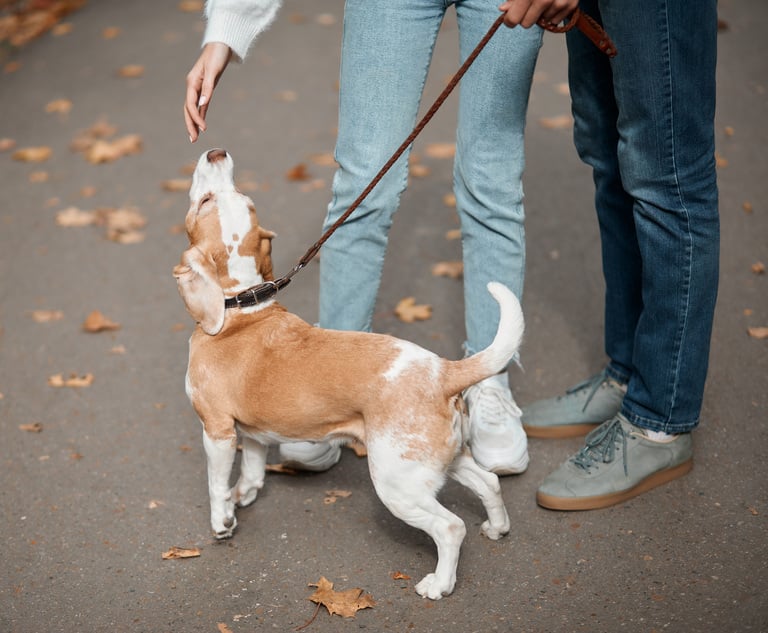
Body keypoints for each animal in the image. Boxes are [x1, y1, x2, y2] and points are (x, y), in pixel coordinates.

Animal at [173, 148, 524, 596]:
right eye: (245, 200)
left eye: (204, 202)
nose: (216, 153)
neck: (241, 304)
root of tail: (445, 371)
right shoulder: (252, 433)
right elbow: (251, 470)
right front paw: (243, 497)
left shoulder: (217, 430)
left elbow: (216, 484)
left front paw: (222, 522)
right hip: (446, 460)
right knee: (489, 483)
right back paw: (497, 528)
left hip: (397, 483)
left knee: (451, 527)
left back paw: (438, 584)